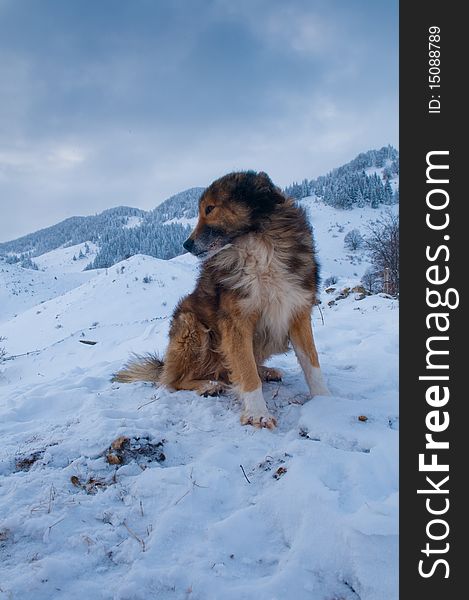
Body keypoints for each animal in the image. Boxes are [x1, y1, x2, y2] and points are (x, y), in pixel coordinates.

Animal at [114, 171, 330, 428]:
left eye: (210, 208)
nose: (186, 244)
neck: (259, 245)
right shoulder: (236, 322)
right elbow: (246, 371)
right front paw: (258, 413)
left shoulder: (297, 311)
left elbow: (312, 362)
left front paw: (326, 401)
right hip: (191, 326)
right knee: (175, 381)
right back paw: (208, 385)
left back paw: (265, 371)